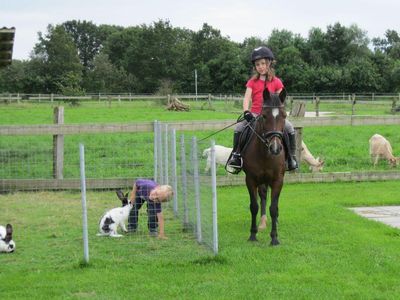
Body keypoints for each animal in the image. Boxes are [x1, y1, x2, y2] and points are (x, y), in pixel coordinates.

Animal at [241, 88, 288, 245]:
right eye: (264, 116)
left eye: (284, 115)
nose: (275, 148)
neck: (265, 154)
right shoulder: (250, 180)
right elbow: (254, 206)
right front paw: (253, 234)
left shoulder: (278, 180)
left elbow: (273, 207)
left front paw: (274, 238)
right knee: (262, 196)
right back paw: (262, 223)